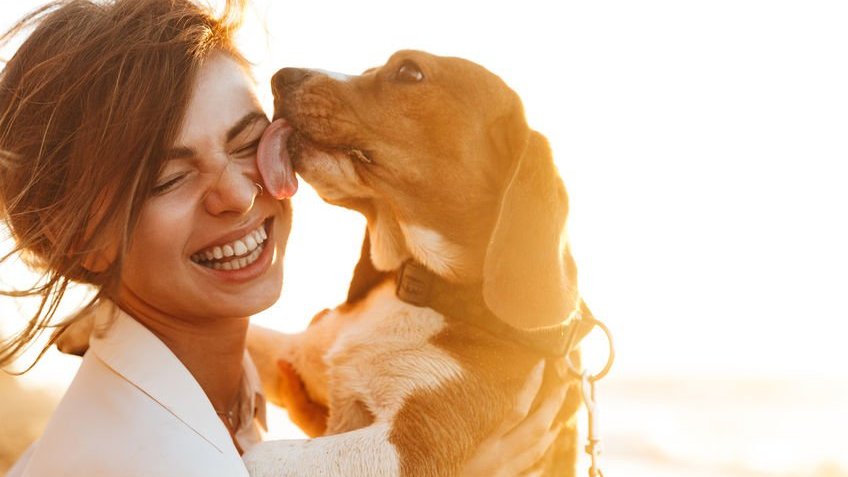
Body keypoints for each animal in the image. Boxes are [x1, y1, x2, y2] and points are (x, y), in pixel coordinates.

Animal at [242, 50, 592, 474]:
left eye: (409, 71)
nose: (280, 77)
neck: (419, 286)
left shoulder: (413, 443)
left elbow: (261, 454)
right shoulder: (296, 358)